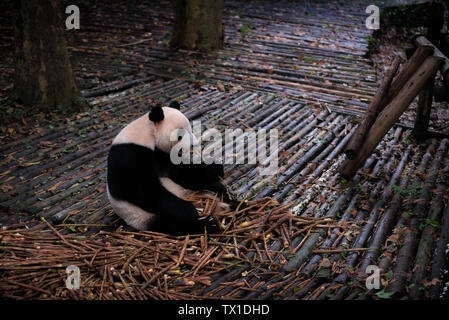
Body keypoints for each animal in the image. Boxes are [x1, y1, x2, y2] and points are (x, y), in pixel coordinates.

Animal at [107, 101, 234, 236]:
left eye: (190, 129)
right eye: (180, 135)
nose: (192, 145)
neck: (148, 133)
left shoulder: (162, 155)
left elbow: (182, 172)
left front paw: (215, 168)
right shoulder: (130, 156)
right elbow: (144, 190)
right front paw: (190, 210)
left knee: (213, 187)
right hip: (142, 217)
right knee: (176, 224)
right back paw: (209, 224)